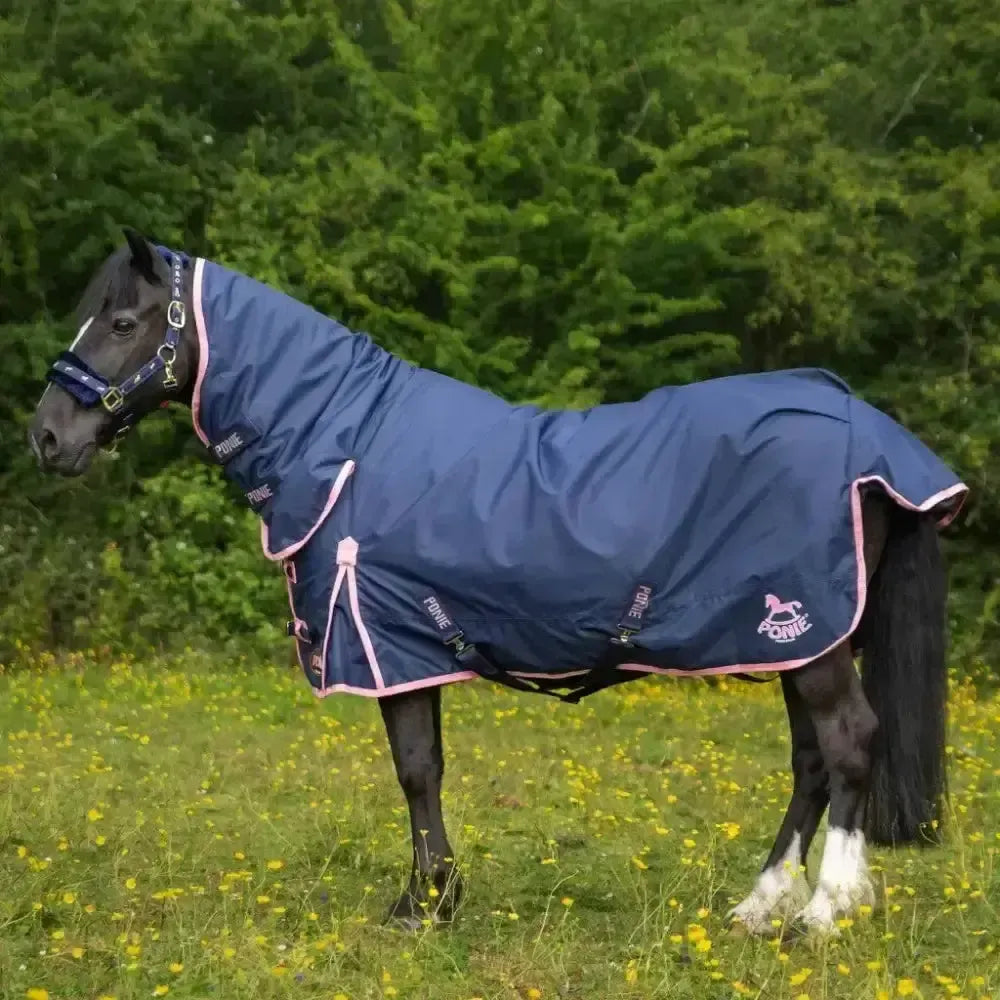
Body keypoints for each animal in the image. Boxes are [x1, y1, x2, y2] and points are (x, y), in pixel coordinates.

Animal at [30, 230, 967, 936]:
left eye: (122, 320)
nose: (46, 437)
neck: (345, 445)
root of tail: (867, 431)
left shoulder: (388, 646)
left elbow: (415, 771)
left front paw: (423, 907)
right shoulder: (411, 649)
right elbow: (428, 769)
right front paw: (433, 898)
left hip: (808, 634)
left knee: (849, 743)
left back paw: (823, 912)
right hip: (794, 638)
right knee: (811, 761)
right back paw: (758, 905)